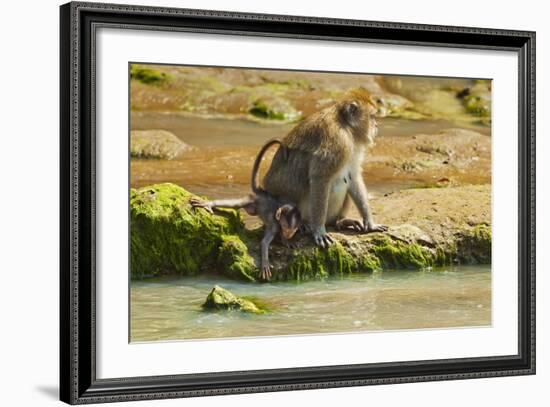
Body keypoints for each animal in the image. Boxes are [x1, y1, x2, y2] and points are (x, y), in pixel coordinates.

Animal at [190, 139, 302, 280]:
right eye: (287, 228)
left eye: (293, 230)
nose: (288, 234)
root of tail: (261, 192)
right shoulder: (275, 225)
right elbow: (264, 243)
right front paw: (265, 263)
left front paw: (286, 240)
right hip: (252, 200)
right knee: (236, 204)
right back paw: (209, 204)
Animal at [264, 89, 388, 249]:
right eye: (372, 116)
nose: (376, 125)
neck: (346, 126)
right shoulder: (338, 141)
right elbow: (320, 178)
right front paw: (319, 230)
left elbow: (353, 176)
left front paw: (370, 223)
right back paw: (304, 224)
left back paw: (339, 221)